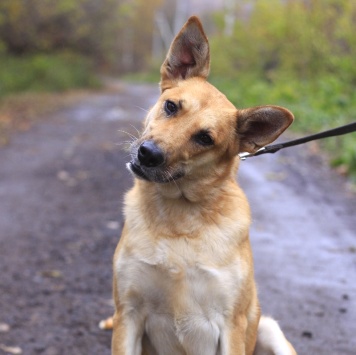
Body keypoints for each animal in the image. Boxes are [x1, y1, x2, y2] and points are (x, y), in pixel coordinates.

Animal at [109, 16, 298, 355]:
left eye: (205, 138)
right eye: (171, 106)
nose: (148, 154)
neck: (179, 217)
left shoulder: (231, 325)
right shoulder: (127, 314)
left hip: (270, 330)